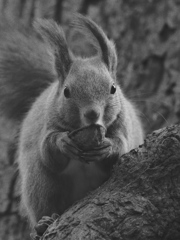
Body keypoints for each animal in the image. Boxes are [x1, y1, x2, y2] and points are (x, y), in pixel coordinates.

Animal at [0, 15, 143, 225]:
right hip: (41, 183)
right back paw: (45, 223)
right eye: (66, 91)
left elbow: (121, 146)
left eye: (113, 88)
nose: (92, 114)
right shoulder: (48, 124)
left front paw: (108, 146)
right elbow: (48, 153)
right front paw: (62, 142)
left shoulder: (123, 126)